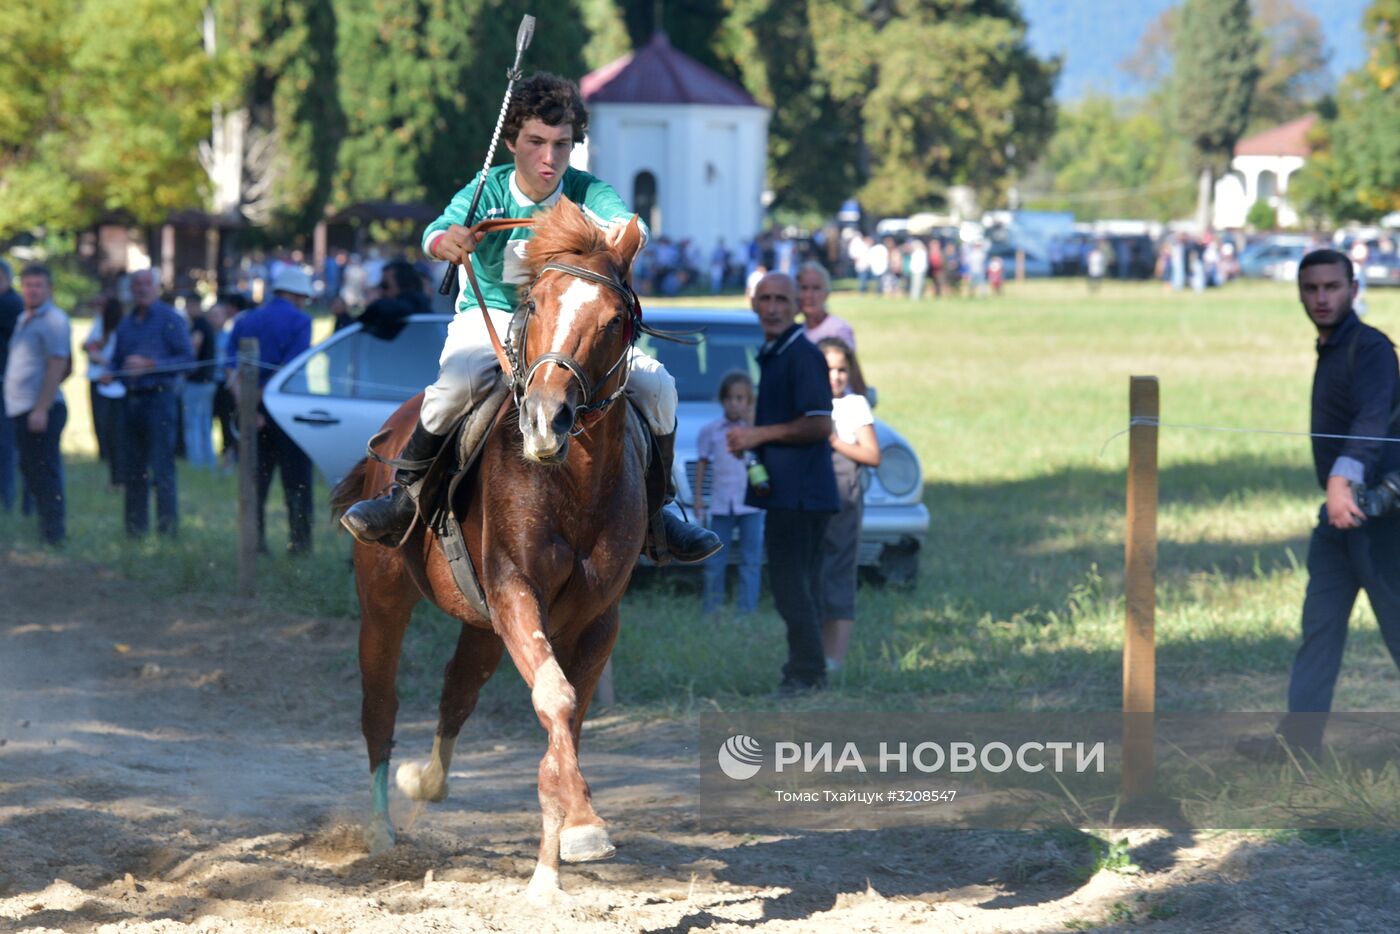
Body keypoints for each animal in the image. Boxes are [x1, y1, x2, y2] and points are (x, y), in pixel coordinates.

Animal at [330, 198, 652, 896]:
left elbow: (567, 719)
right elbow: (555, 698)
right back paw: (380, 829)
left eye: (614, 321)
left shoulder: (596, 619)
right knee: (379, 706)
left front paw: (557, 857)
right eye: (537, 303)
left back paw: (427, 782)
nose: (546, 420)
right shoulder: (515, 594)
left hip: (480, 624)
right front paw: (576, 828)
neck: (575, 481)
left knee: (458, 693)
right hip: (384, 602)